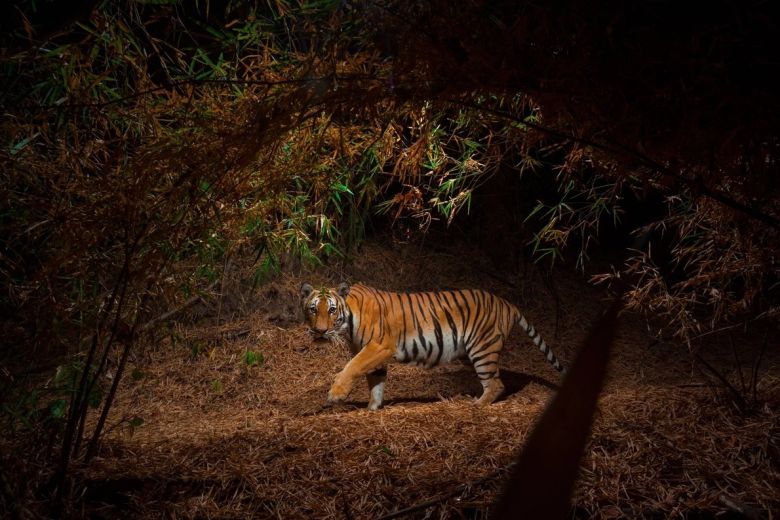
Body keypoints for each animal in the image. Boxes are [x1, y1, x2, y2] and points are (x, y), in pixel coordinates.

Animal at [300, 282, 568, 408]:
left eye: (332, 310)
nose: (320, 331)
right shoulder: (375, 354)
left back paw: (477, 404)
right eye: (313, 309)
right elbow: (375, 383)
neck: (348, 322)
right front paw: (372, 409)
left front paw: (336, 394)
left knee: (496, 383)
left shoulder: (378, 347)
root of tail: (507, 303)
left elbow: (352, 367)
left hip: (482, 348)